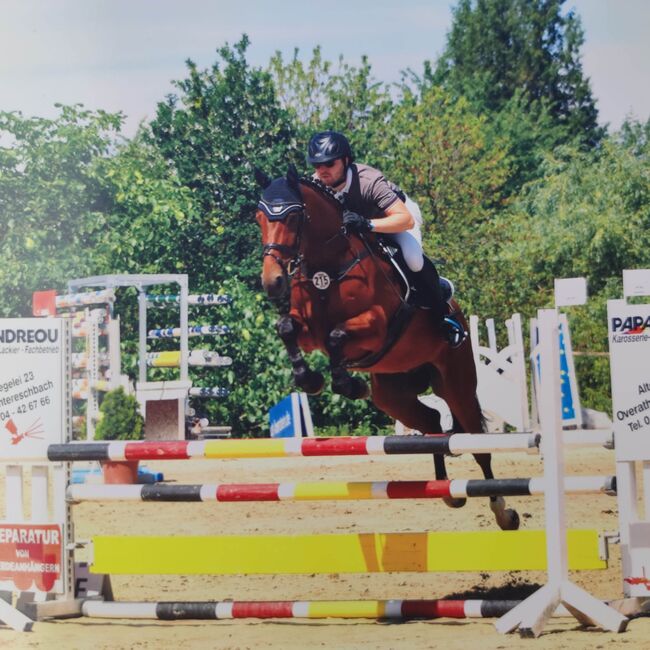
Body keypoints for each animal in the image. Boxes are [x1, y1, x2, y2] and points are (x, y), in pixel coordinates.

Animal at [253, 165, 516, 528]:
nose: (273, 282)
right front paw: (313, 380)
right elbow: (288, 328)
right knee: (432, 422)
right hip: (393, 395)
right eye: (259, 217)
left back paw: (502, 510)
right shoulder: (309, 333)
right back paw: (446, 491)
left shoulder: (375, 325)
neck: (328, 264)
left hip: (456, 383)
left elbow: (337, 336)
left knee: (477, 442)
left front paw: (348, 384)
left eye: (293, 217)